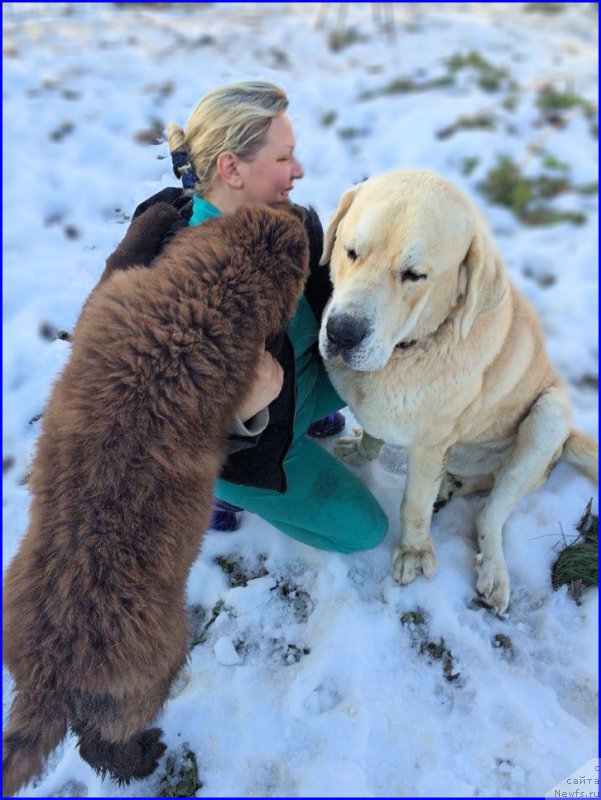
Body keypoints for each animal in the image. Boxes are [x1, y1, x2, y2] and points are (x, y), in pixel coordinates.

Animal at [1, 205, 310, 792]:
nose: (304, 209)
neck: (200, 304)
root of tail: (50, 674)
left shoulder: (108, 302)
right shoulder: (113, 298)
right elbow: (121, 257)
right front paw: (165, 211)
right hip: (153, 669)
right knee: (100, 743)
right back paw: (144, 756)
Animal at [318, 169, 596, 612]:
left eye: (414, 275)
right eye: (351, 252)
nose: (342, 333)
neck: (406, 350)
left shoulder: (431, 444)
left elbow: (414, 505)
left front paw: (414, 552)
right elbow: (375, 434)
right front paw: (361, 450)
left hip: (549, 417)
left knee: (493, 509)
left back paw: (493, 571)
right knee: (482, 483)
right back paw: (451, 486)